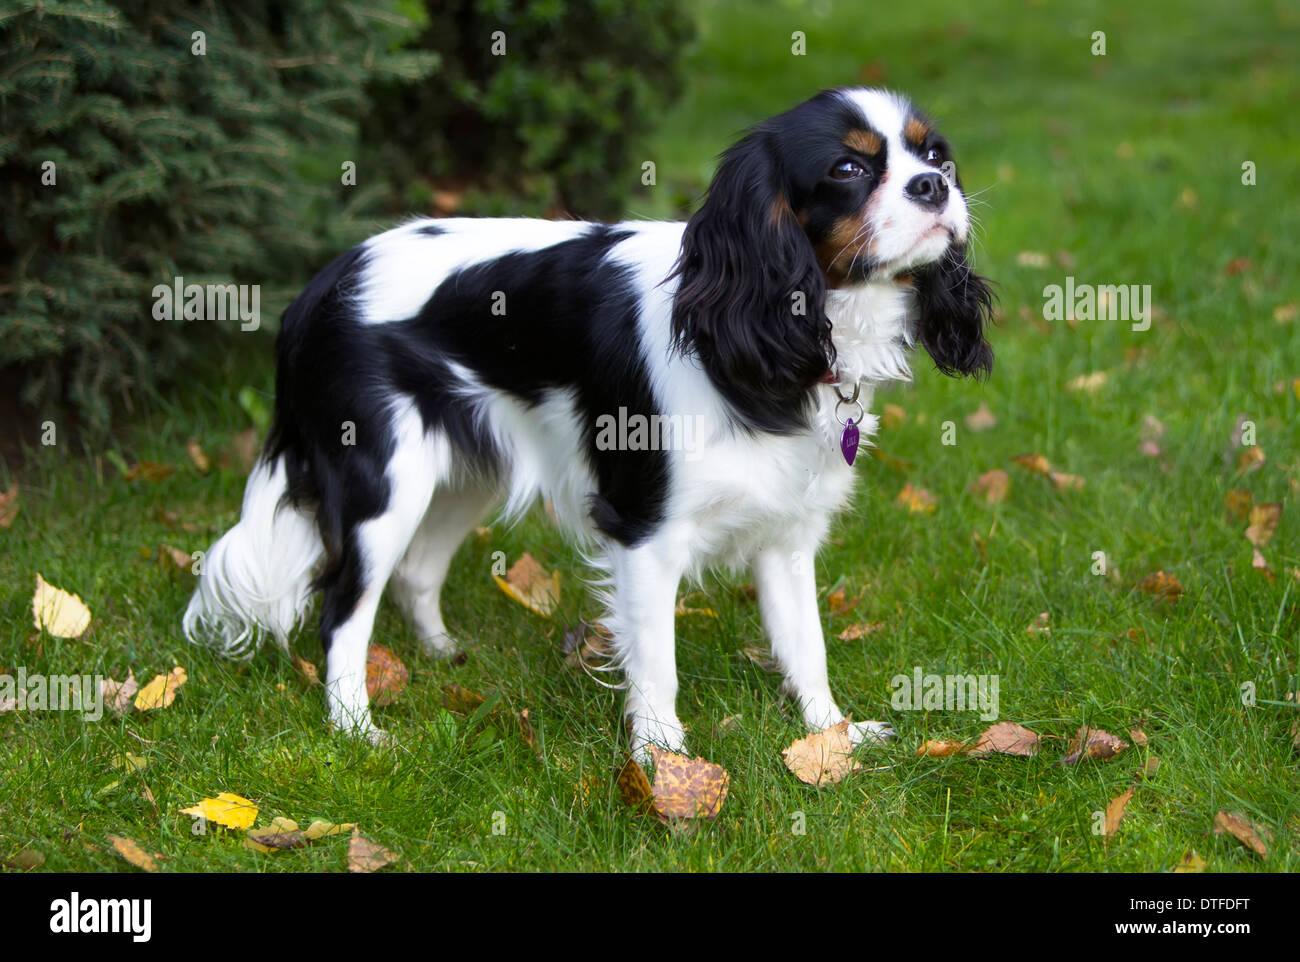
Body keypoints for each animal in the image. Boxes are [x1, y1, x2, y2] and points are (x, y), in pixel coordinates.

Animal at [185, 86, 993, 759]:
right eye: (847, 169)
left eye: (934, 155)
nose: (935, 186)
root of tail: (322, 284)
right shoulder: (646, 533)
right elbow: (658, 666)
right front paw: (665, 766)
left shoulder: (789, 533)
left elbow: (806, 643)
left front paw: (832, 737)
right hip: (385, 486)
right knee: (343, 607)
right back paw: (356, 730)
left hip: (462, 475)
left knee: (415, 571)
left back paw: (443, 656)